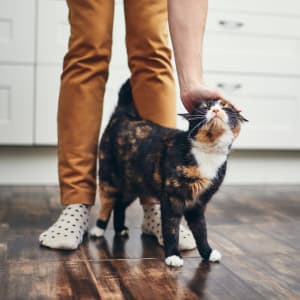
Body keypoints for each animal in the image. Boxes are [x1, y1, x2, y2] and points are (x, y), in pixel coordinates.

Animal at [90, 79, 247, 268]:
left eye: (226, 107)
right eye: (204, 107)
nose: (216, 110)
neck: (208, 153)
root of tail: (123, 115)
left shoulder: (198, 203)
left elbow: (201, 231)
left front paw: (208, 252)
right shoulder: (172, 199)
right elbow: (171, 229)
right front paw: (173, 255)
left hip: (133, 185)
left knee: (120, 204)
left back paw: (120, 229)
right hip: (109, 178)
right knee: (107, 203)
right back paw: (98, 228)